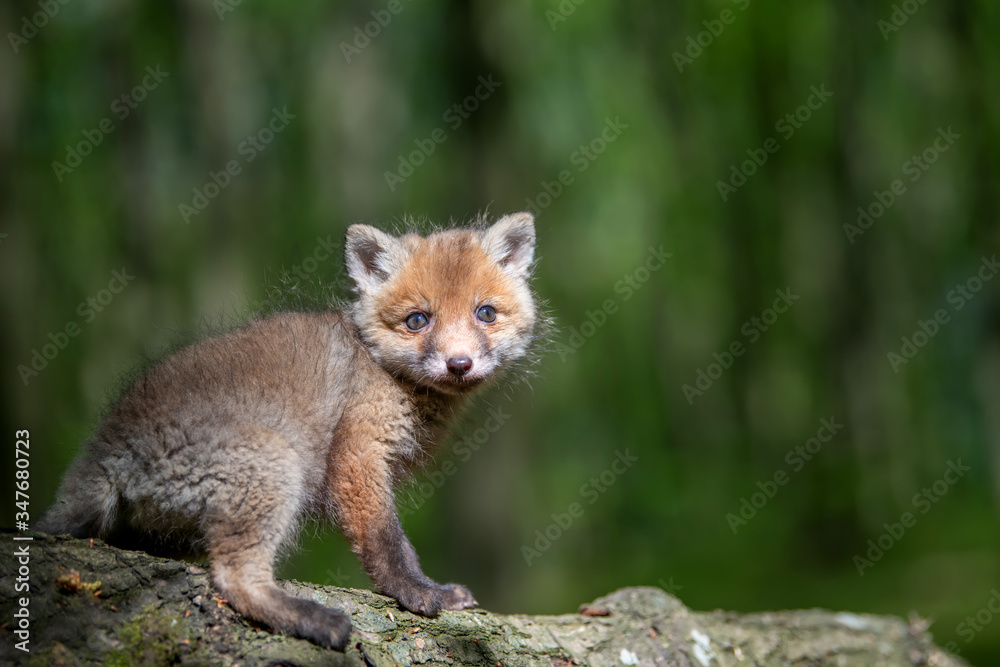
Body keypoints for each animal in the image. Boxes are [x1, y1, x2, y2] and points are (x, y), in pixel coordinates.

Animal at [37, 211, 542, 650]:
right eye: (418, 320)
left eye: (485, 313)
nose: (459, 364)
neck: (381, 371)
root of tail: (106, 446)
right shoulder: (358, 455)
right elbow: (387, 542)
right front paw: (419, 591)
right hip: (273, 465)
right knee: (234, 579)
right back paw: (313, 619)